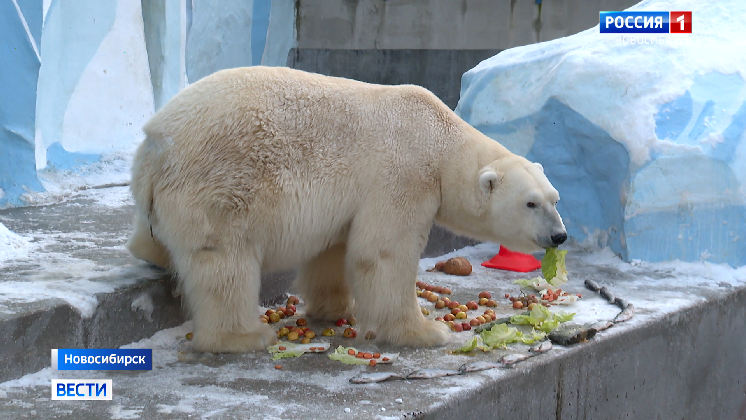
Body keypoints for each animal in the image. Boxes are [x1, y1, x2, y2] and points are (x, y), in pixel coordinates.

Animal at [126, 65, 564, 352]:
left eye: (555, 199)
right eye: (531, 203)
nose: (559, 235)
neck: (443, 140)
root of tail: (157, 143)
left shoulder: (352, 197)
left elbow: (333, 249)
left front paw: (337, 307)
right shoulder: (404, 173)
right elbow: (383, 253)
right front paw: (425, 333)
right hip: (222, 184)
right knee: (223, 261)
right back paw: (243, 336)